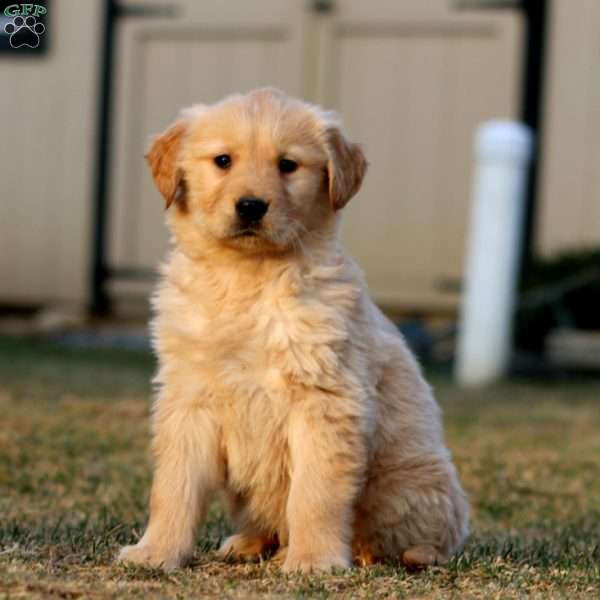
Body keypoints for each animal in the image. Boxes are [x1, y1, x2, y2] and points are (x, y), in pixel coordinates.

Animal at [117, 86, 468, 568]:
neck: (247, 278)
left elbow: (315, 492)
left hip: (411, 482)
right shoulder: (188, 398)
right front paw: (156, 551)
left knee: (422, 539)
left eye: (288, 164)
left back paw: (380, 553)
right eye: (223, 161)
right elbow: (173, 487)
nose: (250, 206)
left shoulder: (324, 401)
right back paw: (249, 542)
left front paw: (315, 560)